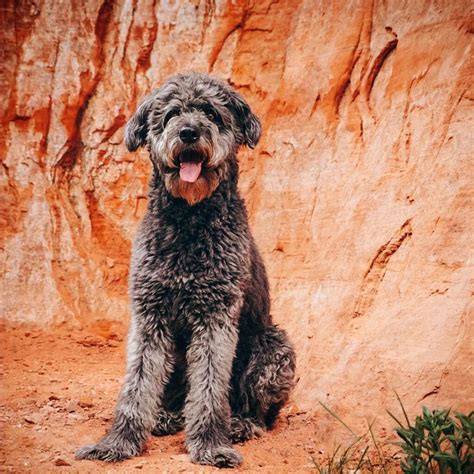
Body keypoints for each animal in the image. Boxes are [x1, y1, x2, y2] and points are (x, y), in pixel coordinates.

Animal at [75, 73, 294, 466]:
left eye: (211, 112)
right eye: (172, 113)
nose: (189, 132)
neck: (188, 222)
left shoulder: (215, 317)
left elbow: (208, 387)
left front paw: (209, 444)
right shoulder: (149, 315)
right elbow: (137, 385)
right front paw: (117, 442)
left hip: (274, 348)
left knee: (259, 410)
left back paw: (240, 423)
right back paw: (166, 416)